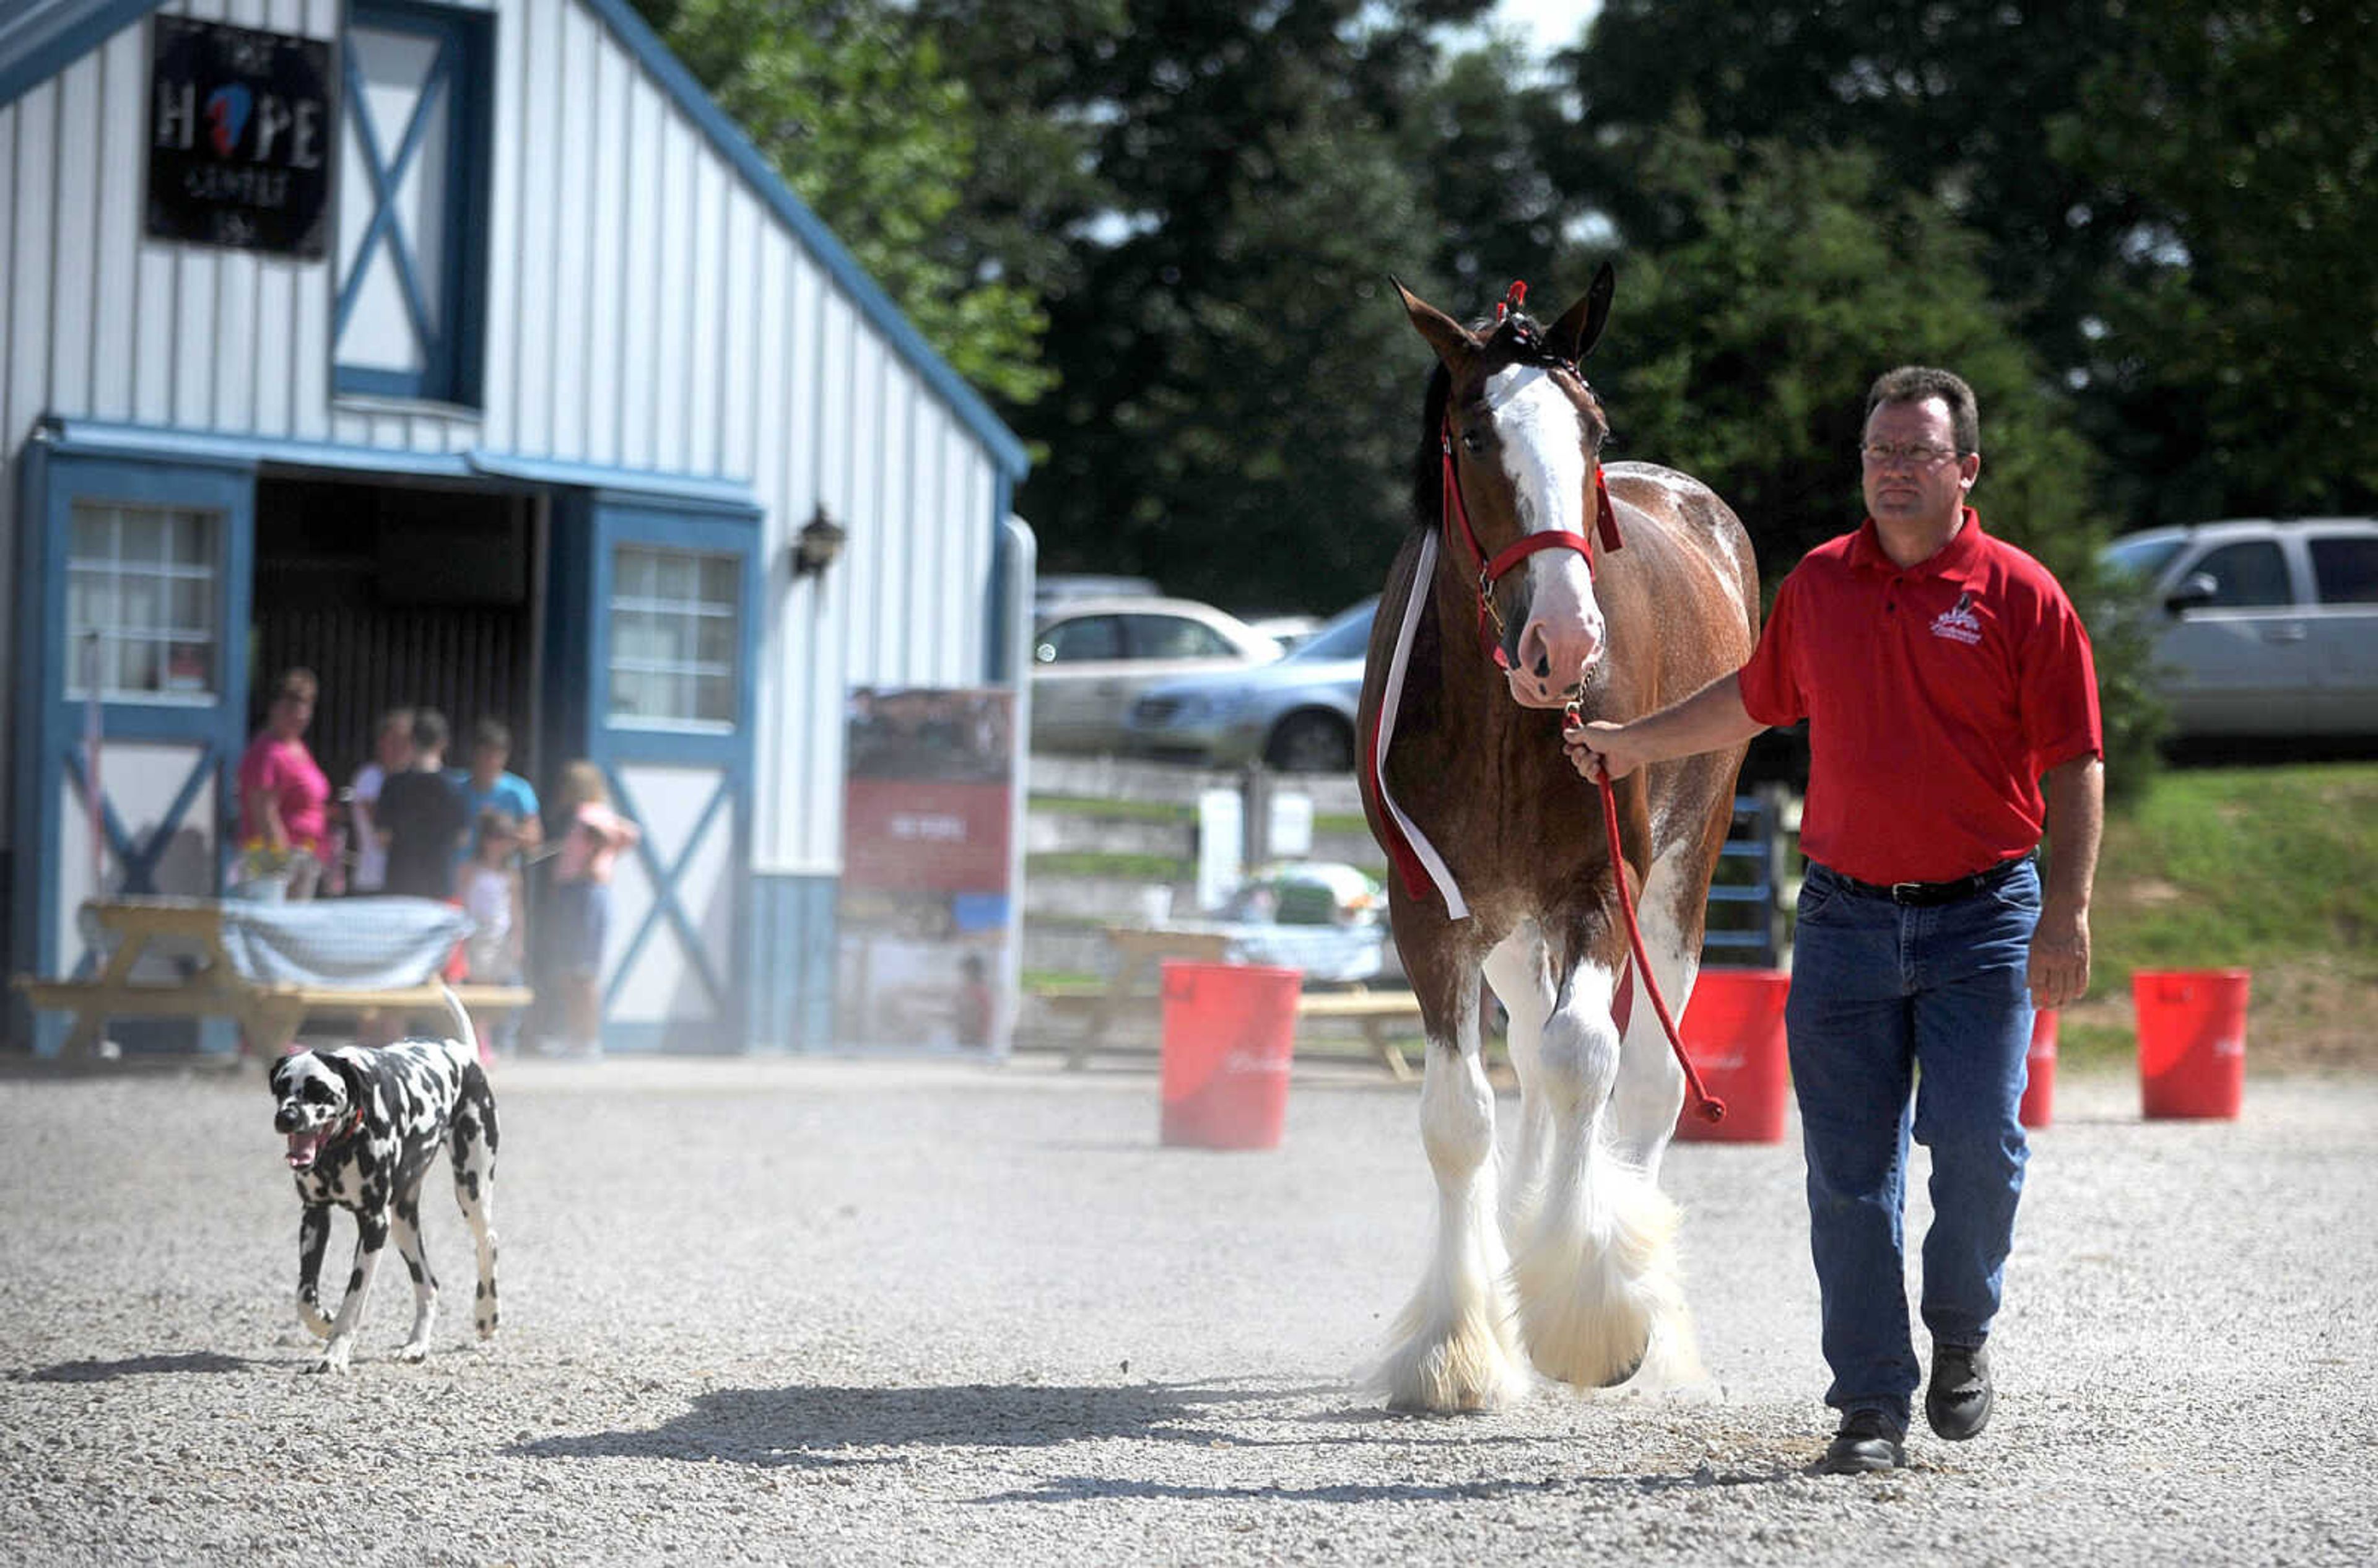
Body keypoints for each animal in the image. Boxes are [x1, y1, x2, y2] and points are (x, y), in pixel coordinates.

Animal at [265, 1032, 497, 1370]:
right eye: (281, 1087)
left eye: (319, 1090)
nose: (287, 1117)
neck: (341, 1146)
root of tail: (461, 1051)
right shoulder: (314, 1216)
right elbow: (304, 1295)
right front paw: (322, 1322)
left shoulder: (374, 1226)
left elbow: (352, 1302)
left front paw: (335, 1354)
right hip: (403, 1224)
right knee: (428, 1285)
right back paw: (416, 1345)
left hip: (472, 1190)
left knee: (487, 1243)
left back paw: (487, 1314)